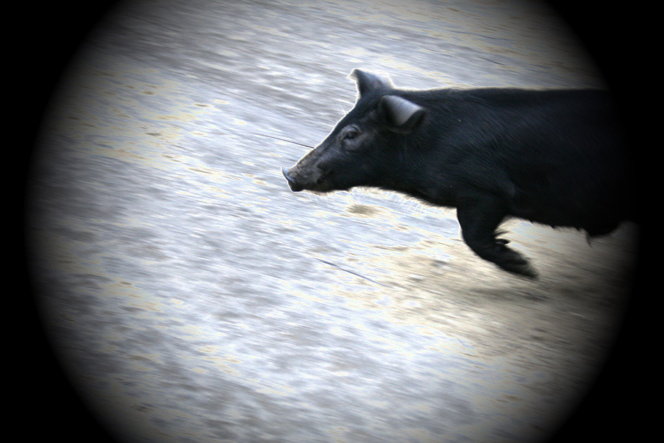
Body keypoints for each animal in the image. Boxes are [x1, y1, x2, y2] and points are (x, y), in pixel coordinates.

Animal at [282, 69, 635, 278]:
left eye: (351, 135)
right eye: (338, 125)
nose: (288, 173)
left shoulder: (487, 193)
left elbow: (472, 235)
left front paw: (527, 269)